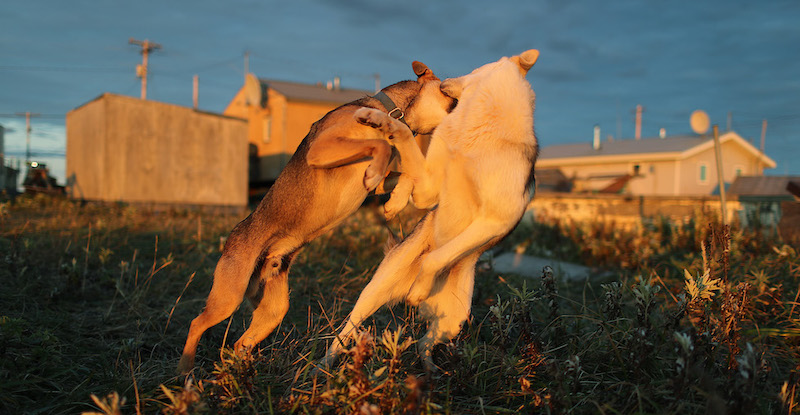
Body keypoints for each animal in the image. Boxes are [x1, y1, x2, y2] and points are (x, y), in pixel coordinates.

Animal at [179, 62, 456, 376]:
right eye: (450, 93)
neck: (388, 111)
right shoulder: (323, 149)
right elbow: (380, 148)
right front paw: (380, 178)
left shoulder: (376, 183)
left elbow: (403, 174)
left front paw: (394, 202)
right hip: (229, 297)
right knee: (196, 324)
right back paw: (185, 372)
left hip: (273, 311)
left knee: (241, 342)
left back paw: (245, 371)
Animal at [322, 49, 540, 370]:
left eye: (473, 67)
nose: (444, 81)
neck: (481, 124)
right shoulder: (428, 188)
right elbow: (404, 137)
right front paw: (377, 119)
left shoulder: (493, 221)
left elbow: (435, 257)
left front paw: (420, 287)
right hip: (374, 292)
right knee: (346, 330)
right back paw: (323, 364)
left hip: (454, 320)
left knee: (424, 343)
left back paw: (429, 365)